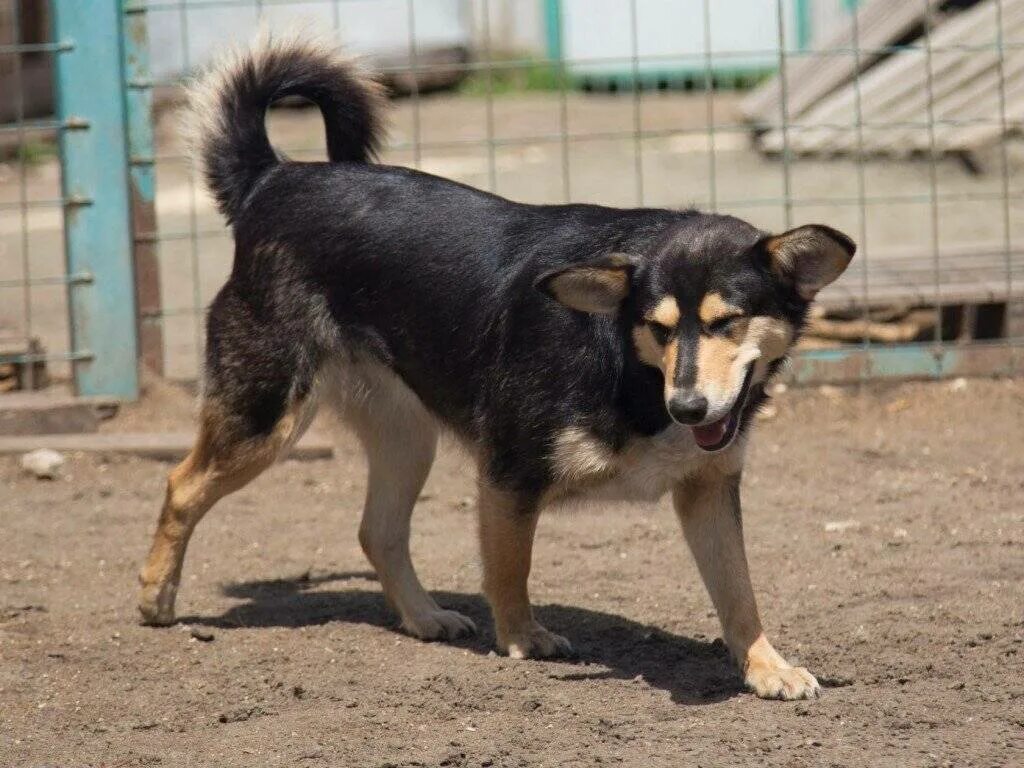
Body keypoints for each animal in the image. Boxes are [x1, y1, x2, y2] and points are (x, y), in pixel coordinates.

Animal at [138, 34, 856, 704]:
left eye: (726, 323)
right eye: (658, 328)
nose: (689, 409)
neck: (633, 372)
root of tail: (272, 179)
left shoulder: (708, 490)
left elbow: (739, 591)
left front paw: (766, 666)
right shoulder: (509, 473)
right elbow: (512, 567)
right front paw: (521, 637)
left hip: (406, 437)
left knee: (377, 532)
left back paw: (423, 617)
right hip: (265, 416)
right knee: (180, 484)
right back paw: (156, 598)